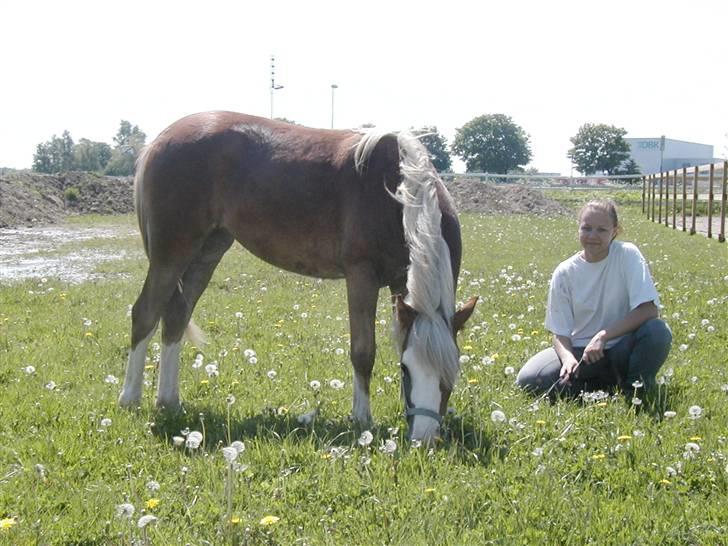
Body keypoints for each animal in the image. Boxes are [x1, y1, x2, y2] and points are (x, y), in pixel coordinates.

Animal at [118, 111, 477, 443]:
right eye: (406, 370)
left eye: (452, 374)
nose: (424, 439)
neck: (396, 192)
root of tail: (161, 139)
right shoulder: (361, 276)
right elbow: (363, 352)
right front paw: (362, 420)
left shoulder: (400, 285)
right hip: (171, 253)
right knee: (145, 313)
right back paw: (130, 399)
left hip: (208, 250)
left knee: (176, 316)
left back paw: (169, 402)